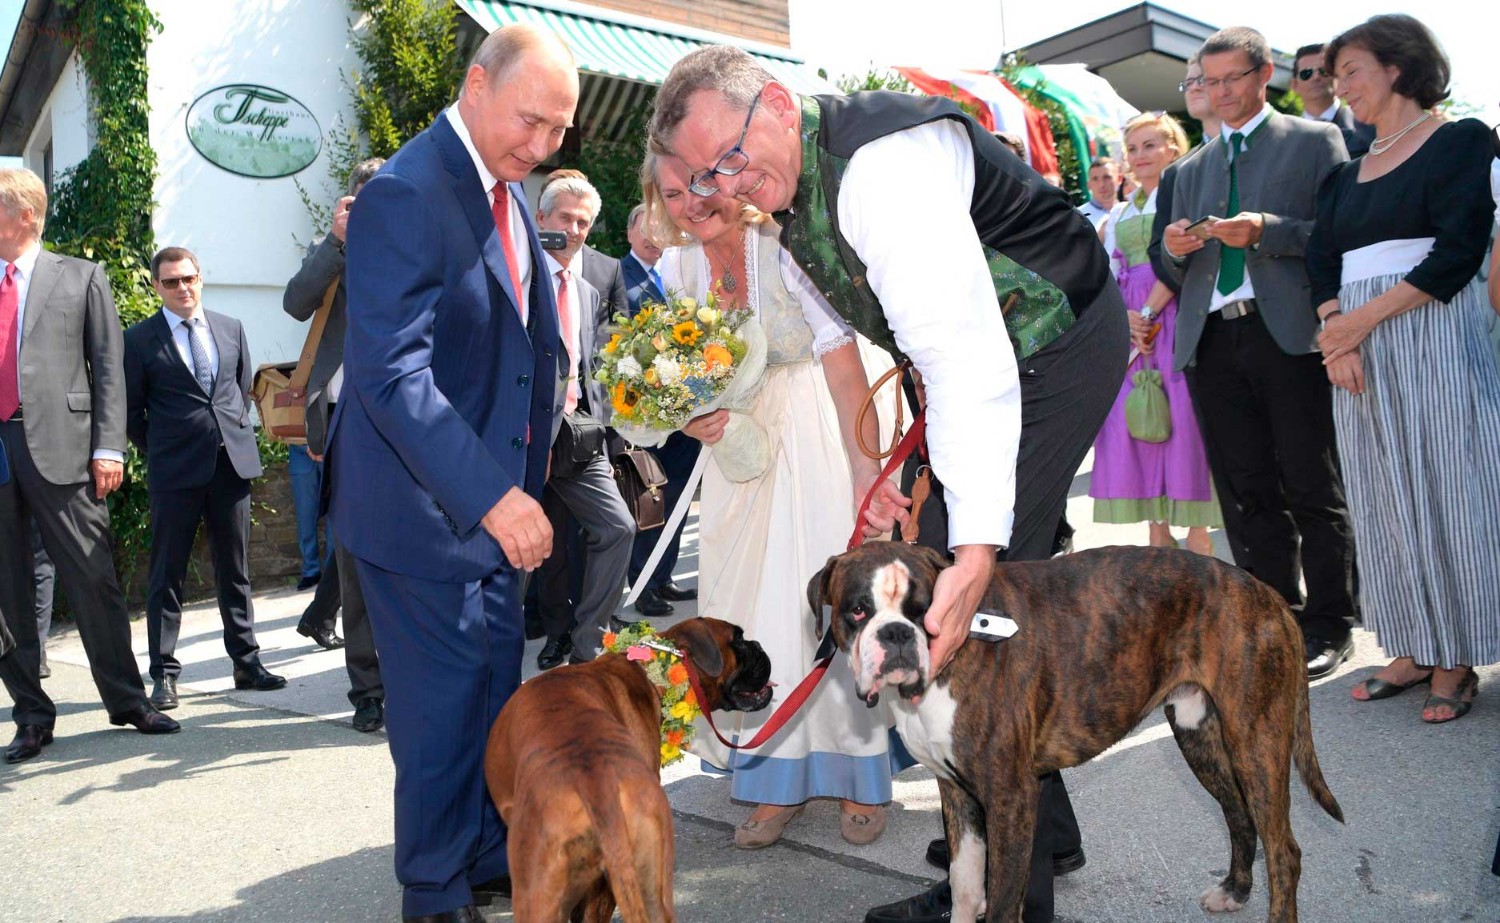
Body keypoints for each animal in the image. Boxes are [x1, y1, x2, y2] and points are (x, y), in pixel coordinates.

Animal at [810, 540, 1350, 923]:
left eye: (924, 610)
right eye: (857, 610)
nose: (897, 634)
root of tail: (1268, 595)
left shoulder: (1010, 799)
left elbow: (1002, 901)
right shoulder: (958, 795)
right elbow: (965, 888)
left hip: (1257, 741)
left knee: (1285, 852)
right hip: (1201, 735)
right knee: (1239, 816)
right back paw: (1233, 893)